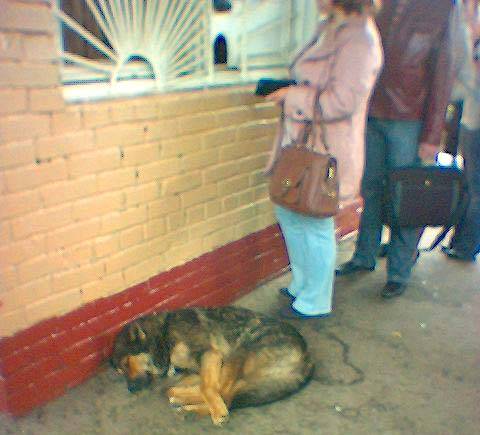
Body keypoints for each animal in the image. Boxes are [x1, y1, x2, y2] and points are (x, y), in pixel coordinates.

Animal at [111, 306, 314, 425]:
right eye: (120, 371)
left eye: (126, 363)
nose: (130, 389)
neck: (163, 336)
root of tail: (307, 359)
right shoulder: (197, 369)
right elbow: (172, 388)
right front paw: (179, 393)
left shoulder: (210, 354)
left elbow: (207, 387)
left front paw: (210, 404)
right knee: (228, 395)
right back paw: (187, 405)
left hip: (239, 352)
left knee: (225, 393)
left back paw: (201, 409)